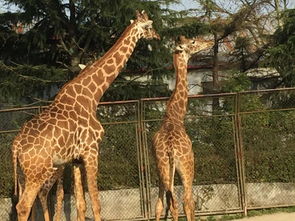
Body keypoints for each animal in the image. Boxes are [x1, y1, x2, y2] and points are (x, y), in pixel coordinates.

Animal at [12, 9, 160, 220]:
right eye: (149, 26)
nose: (157, 36)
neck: (92, 95)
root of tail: (15, 147)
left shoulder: (76, 159)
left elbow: (81, 205)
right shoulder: (92, 151)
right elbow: (96, 204)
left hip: (23, 175)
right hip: (38, 172)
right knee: (24, 206)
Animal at [153, 35, 213, 220]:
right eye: (193, 42)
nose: (210, 42)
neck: (174, 116)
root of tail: (171, 149)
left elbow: (160, 205)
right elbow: (189, 203)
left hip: (164, 168)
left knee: (165, 202)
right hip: (186, 168)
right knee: (186, 201)